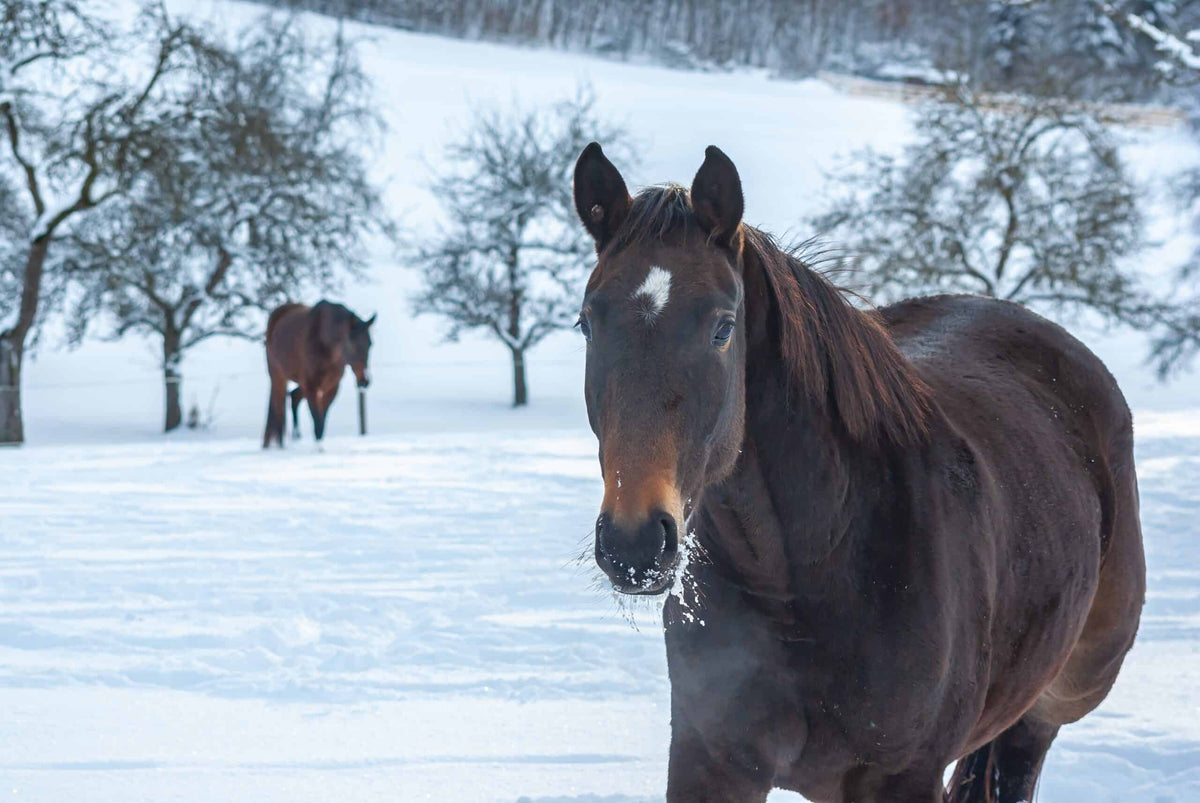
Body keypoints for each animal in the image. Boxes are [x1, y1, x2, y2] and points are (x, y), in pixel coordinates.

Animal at [263, 300, 375, 448]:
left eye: (370, 344)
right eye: (351, 343)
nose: (364, 380)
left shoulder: (331, 388)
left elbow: (322, 419)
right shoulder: (311, 386)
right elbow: (317, 422)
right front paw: (318, 449)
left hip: (301, 383)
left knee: (294, 397)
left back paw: (296, 436)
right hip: (278, 377)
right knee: (279, 408)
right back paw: (282, 445)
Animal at [571, 143, 1145, 803]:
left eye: (722, 327)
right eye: (587, 323)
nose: (634, 543)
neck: (815, 571)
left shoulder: (904, 778)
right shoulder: (708, 762)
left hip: (1047, 706)